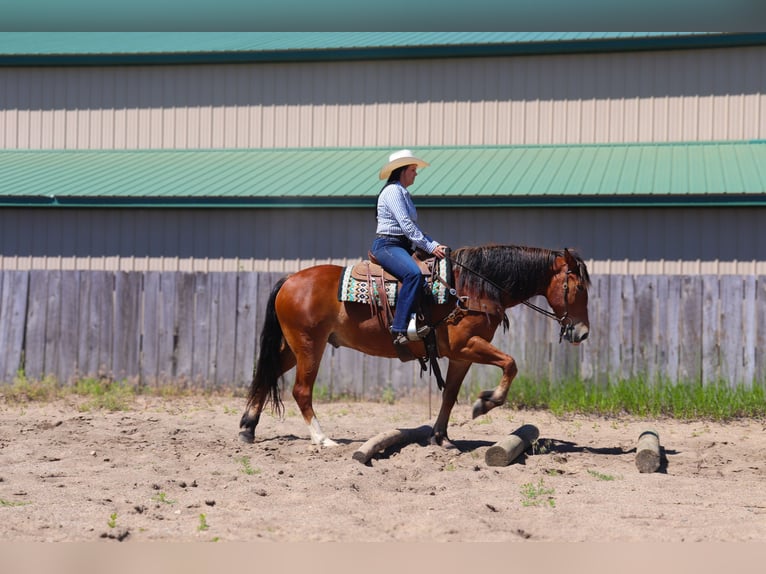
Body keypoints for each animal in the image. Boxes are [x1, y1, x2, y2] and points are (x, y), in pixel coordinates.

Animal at [240, 243, 592, 450]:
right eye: (577, 288)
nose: (583, 333)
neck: (470, 288)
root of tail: (289, 279)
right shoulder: (467, 346)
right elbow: (511, 364)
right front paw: (485, 404)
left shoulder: (461, 355)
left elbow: (450, 394)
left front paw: (442, 437)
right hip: (309, 346)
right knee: (301, 390)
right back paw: (323, 439)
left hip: (294, 347)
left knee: (267, 374)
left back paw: (247, 429)